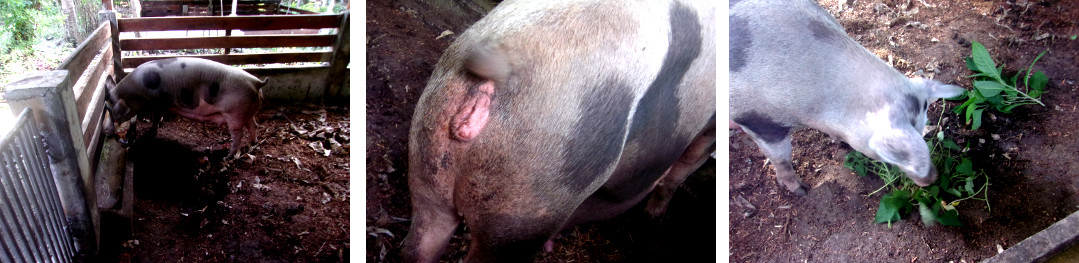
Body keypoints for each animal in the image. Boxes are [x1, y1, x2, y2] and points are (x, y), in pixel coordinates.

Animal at [401, 1, 712, 261]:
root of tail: (501, 63)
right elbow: (683, 169)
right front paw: (654, 219)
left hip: (429, 145)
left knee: (418, 244)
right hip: (533, 190)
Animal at [729, 0, 966, 196]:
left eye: (922, 127)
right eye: (887, 153)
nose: (932, 178)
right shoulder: (758, 119)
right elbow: (781, 157)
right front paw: (802, 191)